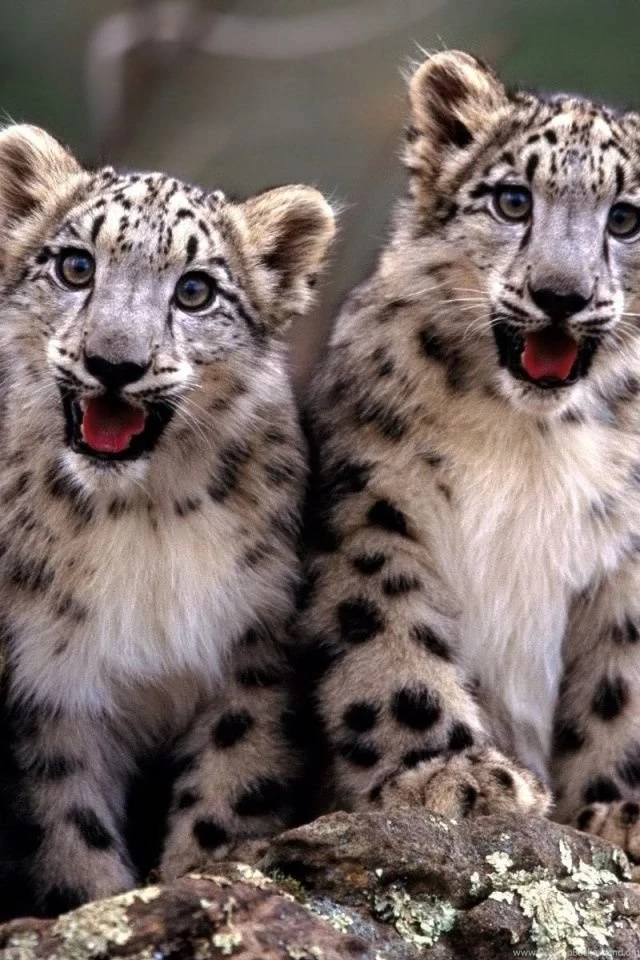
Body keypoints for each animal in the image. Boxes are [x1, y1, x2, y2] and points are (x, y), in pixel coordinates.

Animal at [0, 123, 335, 918]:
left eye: (195, 290)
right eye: (75, 265)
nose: (113, 363)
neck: (139, 516)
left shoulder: (253, 650)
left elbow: (231, 789)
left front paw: (201, 880)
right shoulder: (49, 680)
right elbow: (67, 829)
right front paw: (96, 906)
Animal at [299, 49, 640, 864]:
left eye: (625, 218)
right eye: (513, 201)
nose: (560, 294)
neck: (532, 441)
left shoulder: (628, 558)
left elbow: (619, 689)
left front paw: (618, 809)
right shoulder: (371, 508)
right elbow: (388, 639)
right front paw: (450, 776)